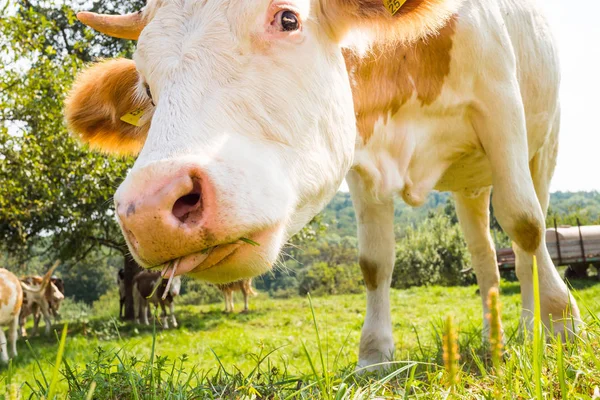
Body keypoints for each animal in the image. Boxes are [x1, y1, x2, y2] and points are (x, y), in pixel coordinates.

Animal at [68, 0, 580, 370]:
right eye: (147, 86)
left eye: (288, 18)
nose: (148, 208)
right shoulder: (361, 157)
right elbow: (375, 262)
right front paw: (374, 358)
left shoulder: (501, 107)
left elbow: (526, 223)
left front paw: (559, 325)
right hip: (470, 184)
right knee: (484, 254)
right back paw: (495, 338)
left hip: (543, 143)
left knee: (527, 227)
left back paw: (530, 326)